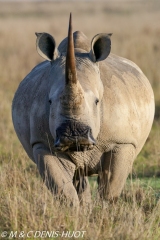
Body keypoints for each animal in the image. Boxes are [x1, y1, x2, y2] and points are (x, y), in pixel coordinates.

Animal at [12, 14, 155, 206]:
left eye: (97, 102)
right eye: (49, 101)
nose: (74, 136)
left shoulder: (122, 142)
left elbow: (110, 189)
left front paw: (104, 211)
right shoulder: (43, 144)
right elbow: (63, 190)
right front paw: (74, 212)